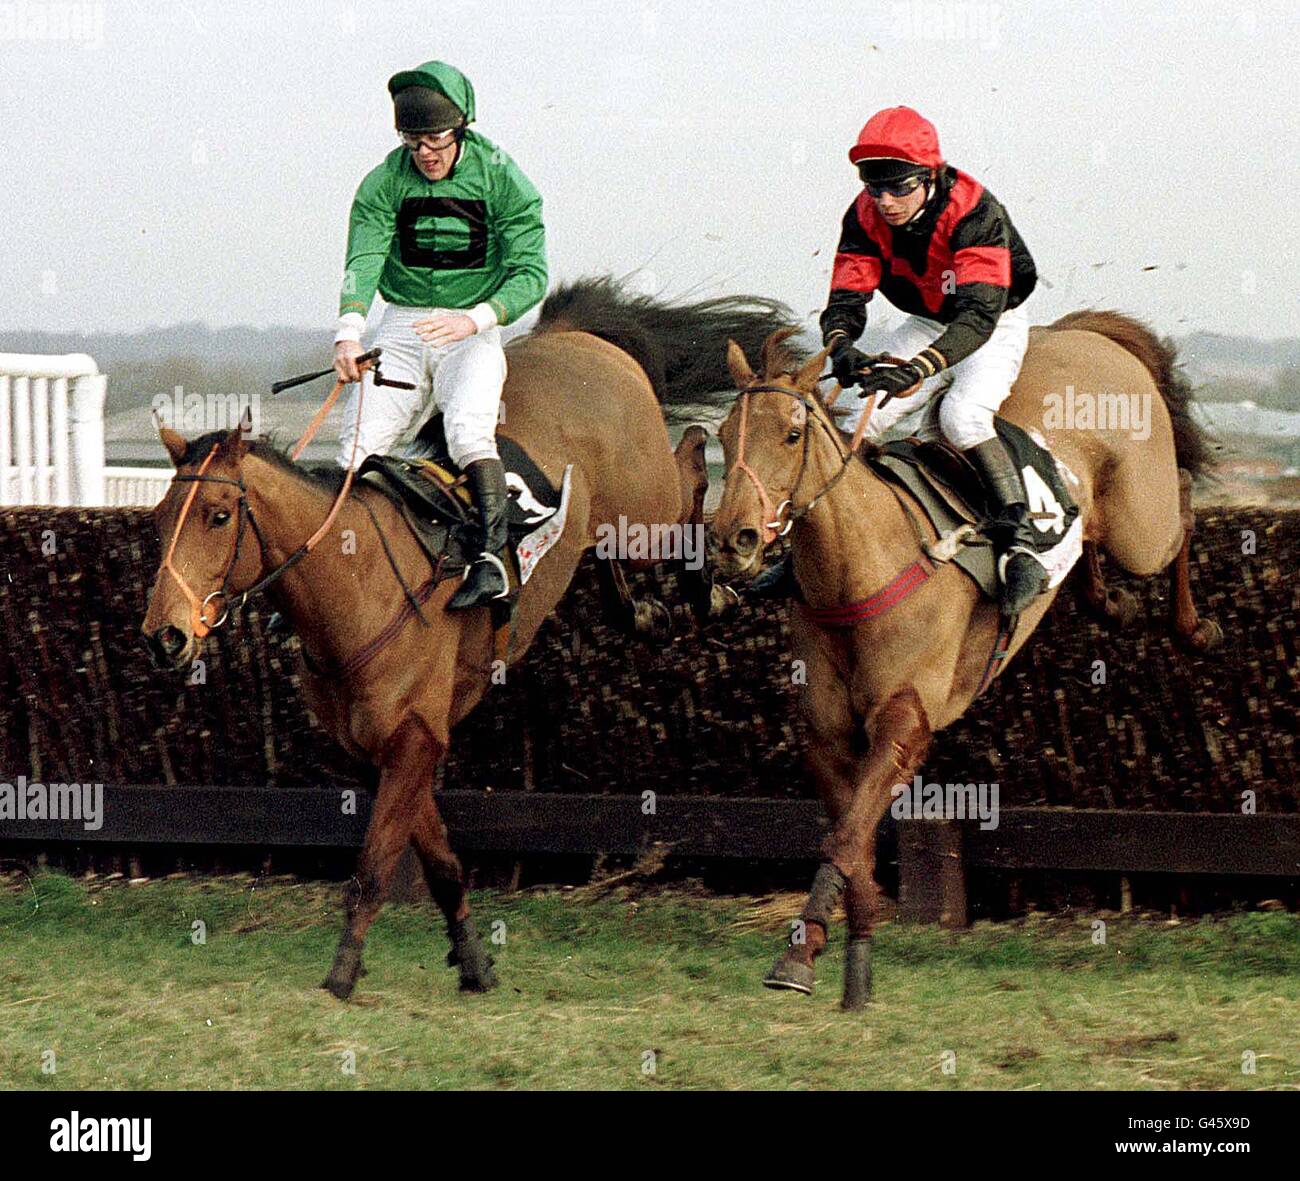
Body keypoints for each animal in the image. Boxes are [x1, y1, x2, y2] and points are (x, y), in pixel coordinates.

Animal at [139, 274, 790, 998]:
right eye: (161, 516)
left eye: (218, 515)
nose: (165, 635)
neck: (359, 583)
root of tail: (568, 335)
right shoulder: (384, 747)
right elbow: (439, 858)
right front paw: (474, 958)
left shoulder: (415, 736)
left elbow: (374, 865)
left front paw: (343, 972)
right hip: (605, 524)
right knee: (616, 549)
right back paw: (639, 608)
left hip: (644, 505)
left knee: (692, 462)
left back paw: (709, 580)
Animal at [712, 310, 1216, 1004]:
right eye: (722, 434)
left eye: (791, 435)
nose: (731, 540)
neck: (859, 569)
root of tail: (1086, 334)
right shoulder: (827, 737)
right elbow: (852, 841)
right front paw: (847, 955)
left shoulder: (904, 723)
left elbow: (845, 838)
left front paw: (798, 955)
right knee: (1088, 544)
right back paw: (1105, 600)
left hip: (1144, 525)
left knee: (1184, 508)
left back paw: (1193, 628)